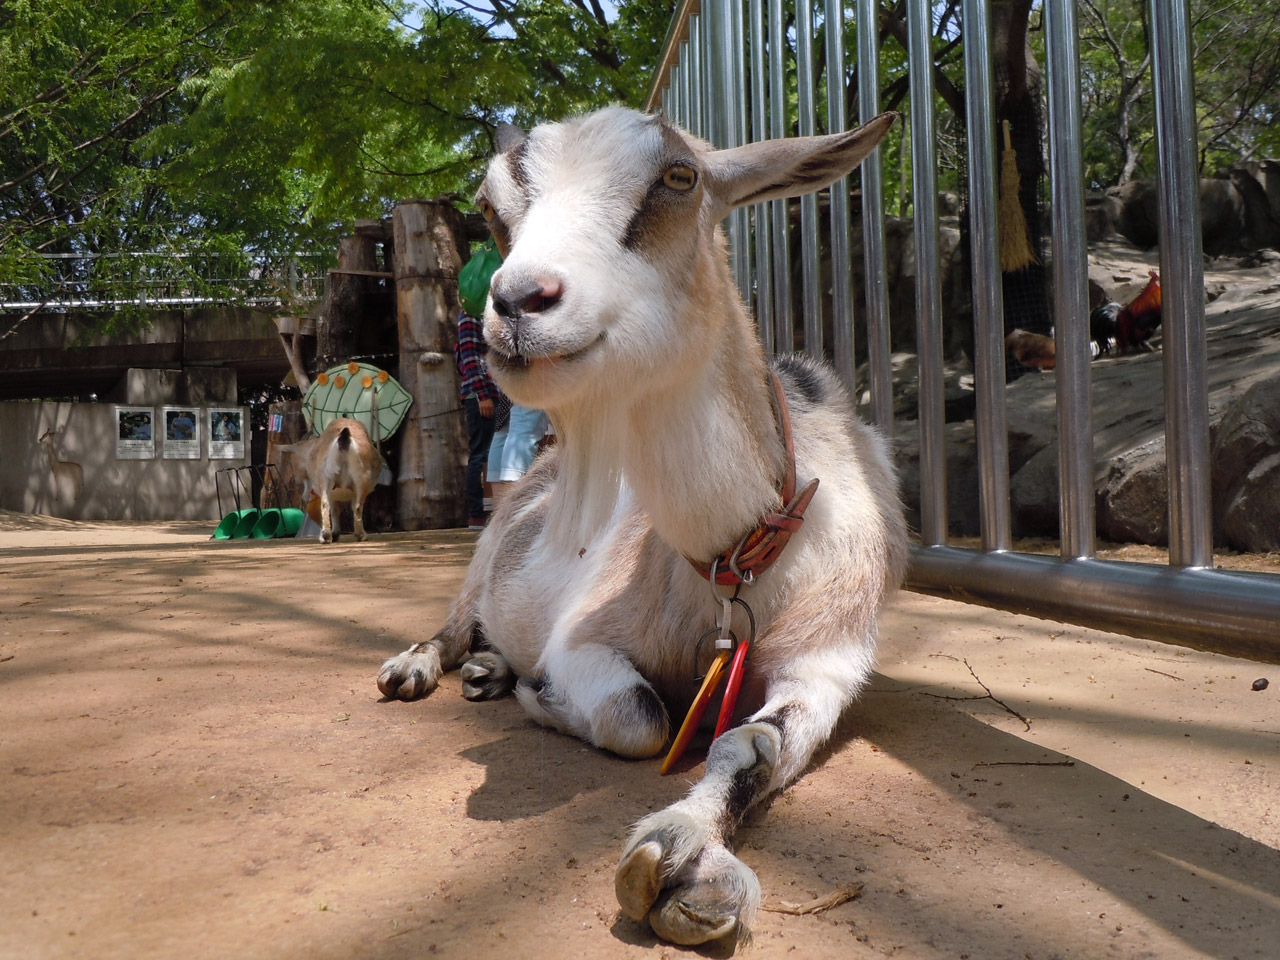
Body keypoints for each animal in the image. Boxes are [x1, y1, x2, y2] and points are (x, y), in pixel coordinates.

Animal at [373, 108, 906, 952]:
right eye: (488, 206)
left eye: (679, 178)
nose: (519, 302)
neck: (736, 562)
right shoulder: (582, 640)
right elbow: (641, 717)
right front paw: (542, 701)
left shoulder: (829, 660)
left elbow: (752, 744)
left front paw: (686, 859)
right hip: (485, 555)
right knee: (456, 622)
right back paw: (424, 667)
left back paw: (491, 671)